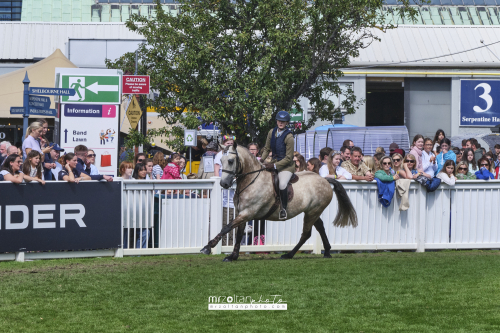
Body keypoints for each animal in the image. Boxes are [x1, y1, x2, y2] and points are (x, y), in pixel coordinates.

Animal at [197, 144, 358, 260]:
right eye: (220, 161)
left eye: (230, 161)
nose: (223, 184)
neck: (251, 180)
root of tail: (324, 179)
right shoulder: (242, 213)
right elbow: (238, 234)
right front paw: (233, 256)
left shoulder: (248, 213)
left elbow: (226, 228)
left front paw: (207, 247)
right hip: (312, 212)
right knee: (320, 228)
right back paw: (326, 252)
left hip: (312, 212)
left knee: (306, 233)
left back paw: (289, 254)